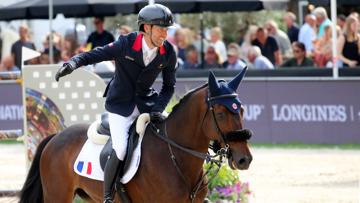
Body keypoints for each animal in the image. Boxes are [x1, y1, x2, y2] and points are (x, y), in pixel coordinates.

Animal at [19, 69, 253, 202]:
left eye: (241, 110)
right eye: (220, 114)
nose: (244, 159)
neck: (175, 156)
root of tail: (55, 137)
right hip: (58, 195)